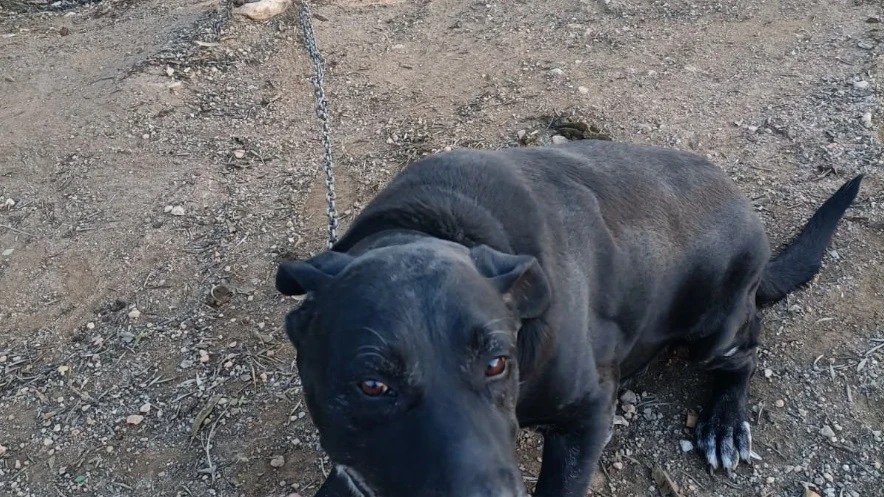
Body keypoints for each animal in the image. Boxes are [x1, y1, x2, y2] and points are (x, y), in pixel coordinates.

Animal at [276, 139, 864, 496]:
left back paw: (724, 422)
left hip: (715, 329)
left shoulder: (588, 415)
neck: (435, 224)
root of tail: (739, 197)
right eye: (372, 385)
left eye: (497, 363)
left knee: (746, 348)